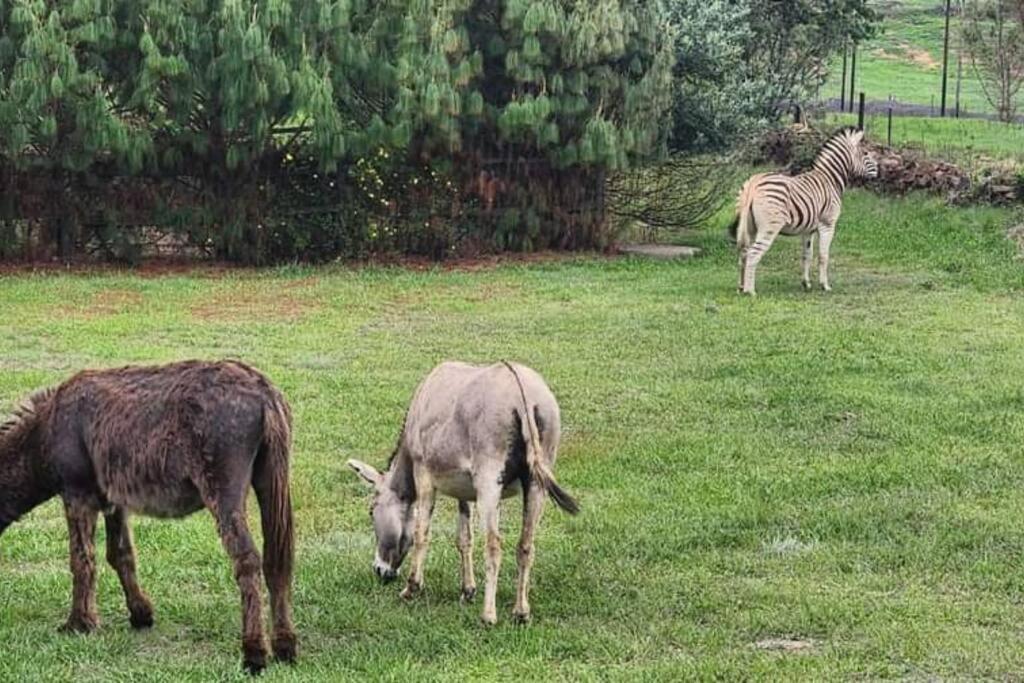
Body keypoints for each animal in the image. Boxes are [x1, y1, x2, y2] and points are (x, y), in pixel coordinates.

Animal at [729, 129, 880, 294]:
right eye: (865, 153)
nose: (879, 171)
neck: (830, 180)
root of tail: (754, 184)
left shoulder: (808, 229)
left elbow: (807, 255)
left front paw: (806, 283)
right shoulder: (828, 224)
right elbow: (823, 256)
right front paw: (825, 285)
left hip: (749, 226)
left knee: (743, 252)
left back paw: (741, 286)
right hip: (769, 227)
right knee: (753, 254)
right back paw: (750, 291)